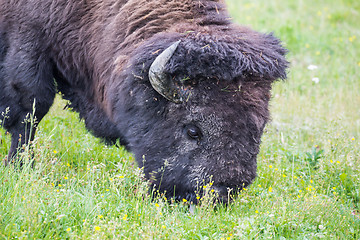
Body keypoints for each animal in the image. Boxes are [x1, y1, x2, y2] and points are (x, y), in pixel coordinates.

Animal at [0, 0, 286, 202]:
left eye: (259, 128)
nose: (221, 193)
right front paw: (20, 167)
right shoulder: (29, 45)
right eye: (193, 130)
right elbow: (30, 112)